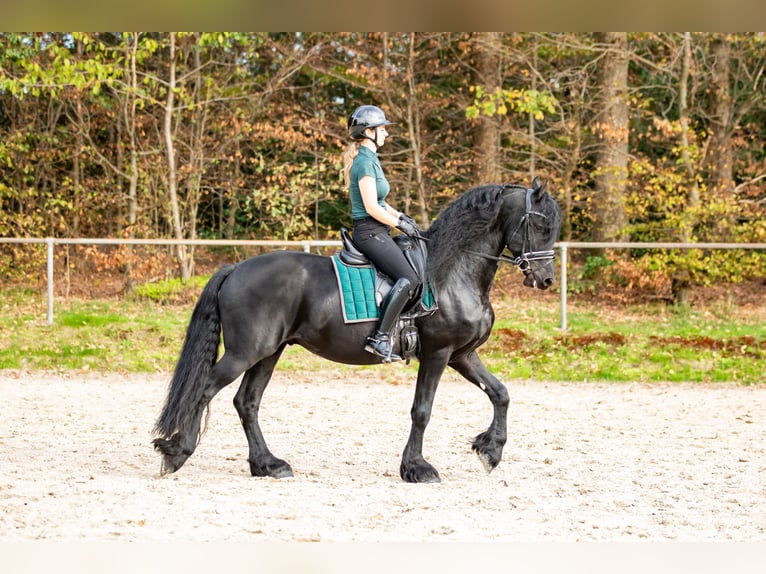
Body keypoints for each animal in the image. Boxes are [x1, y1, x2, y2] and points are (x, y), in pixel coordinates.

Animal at [153, 177, 562, 483]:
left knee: (246, 402)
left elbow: (500, 393)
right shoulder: (438, 353)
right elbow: (422, 410)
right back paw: (175, 452)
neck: (454, 271)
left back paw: (267, 465)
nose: (544, 279)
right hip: (245, 352)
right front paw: (417, 469)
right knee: (205, 390)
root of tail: (236, 268)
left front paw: (490, 450)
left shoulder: (462, 354)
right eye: (540, 225)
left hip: (269, 351)